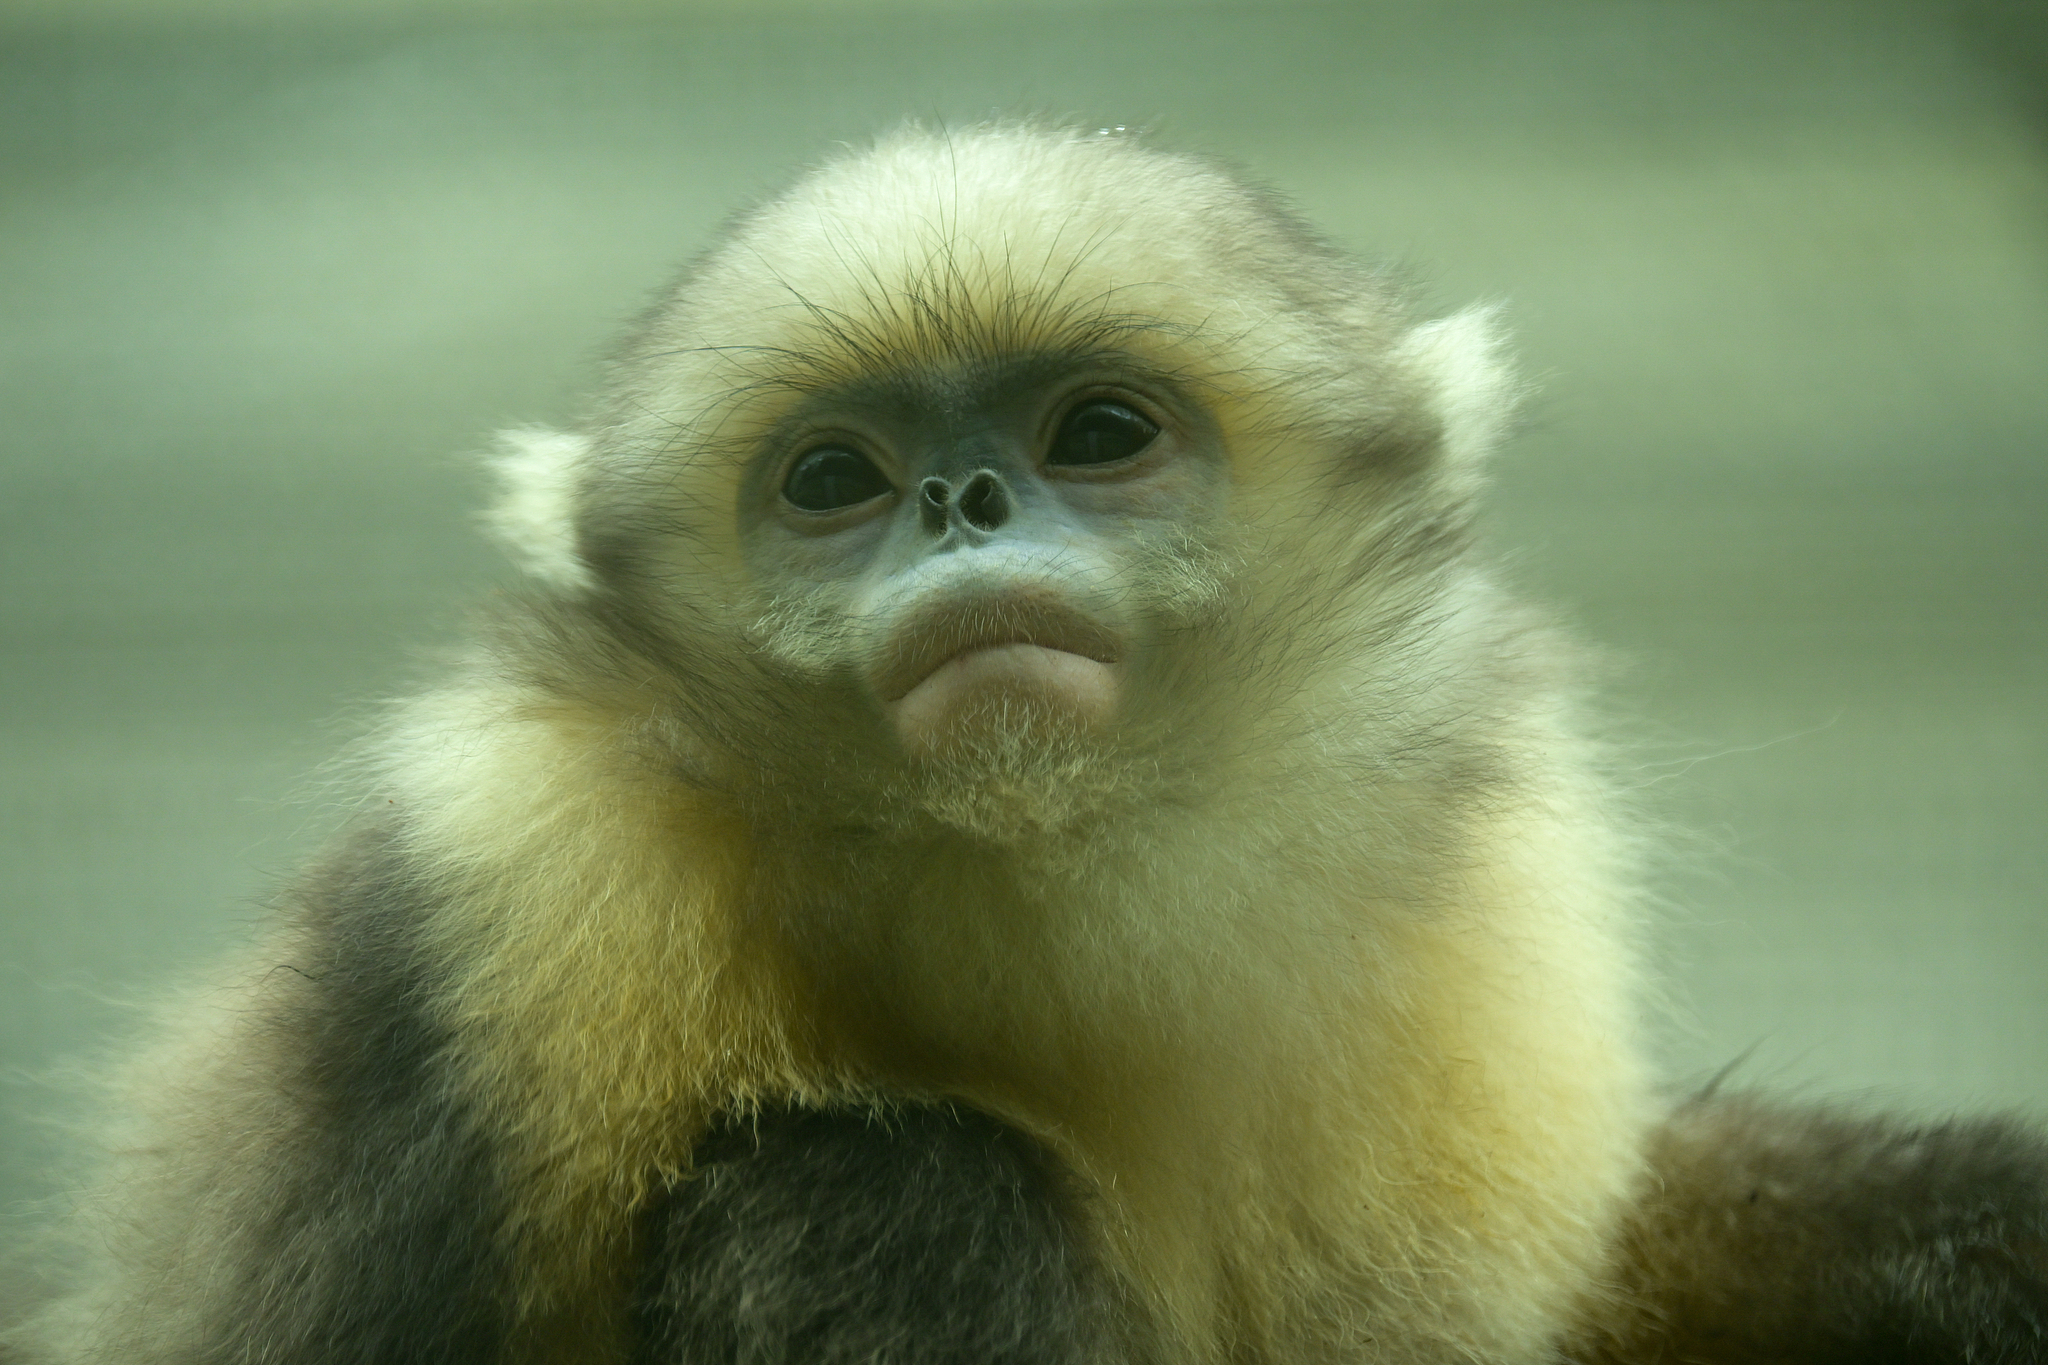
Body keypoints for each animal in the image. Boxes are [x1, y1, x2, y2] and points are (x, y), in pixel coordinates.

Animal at [8, 122, 2045, 1365]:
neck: (1027, 867)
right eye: (832, 480)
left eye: (1100, 434)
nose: (963, 504)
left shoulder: (1483, 874)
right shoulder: (503, 881)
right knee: (882, 1186)